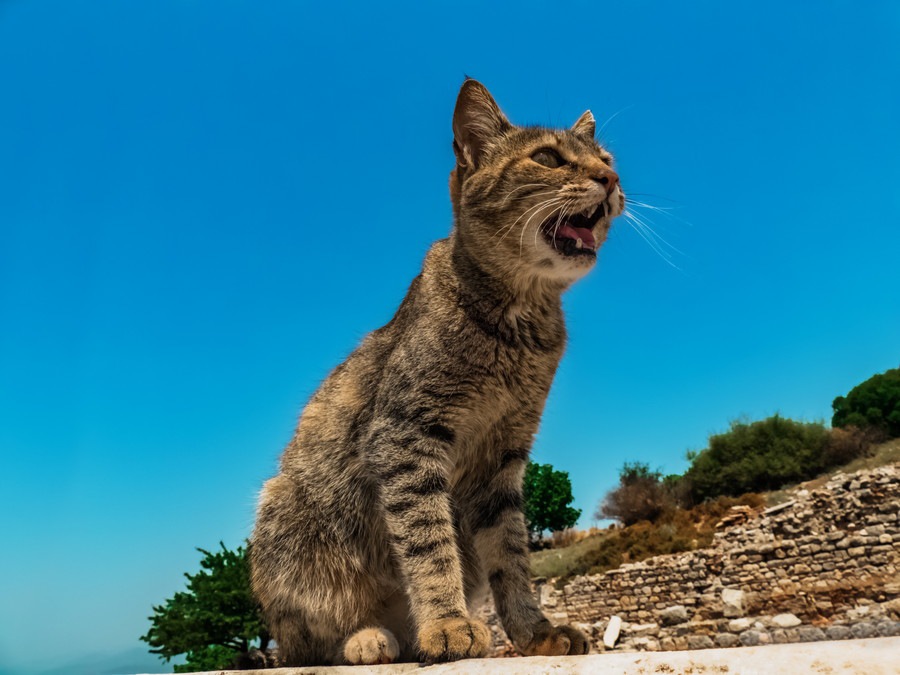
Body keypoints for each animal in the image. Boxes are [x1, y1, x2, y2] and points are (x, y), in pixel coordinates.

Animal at [250, 79, 624, 664]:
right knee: (310, 640)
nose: (610, 180)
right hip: (281, 514)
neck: (521, 322)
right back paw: (368, 636)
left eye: (606, 159)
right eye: (547, 158)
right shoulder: (406, 436)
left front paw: (533, 632)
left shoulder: (504, 457)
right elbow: (428, 540)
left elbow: (511, 556)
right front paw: (448, 622)